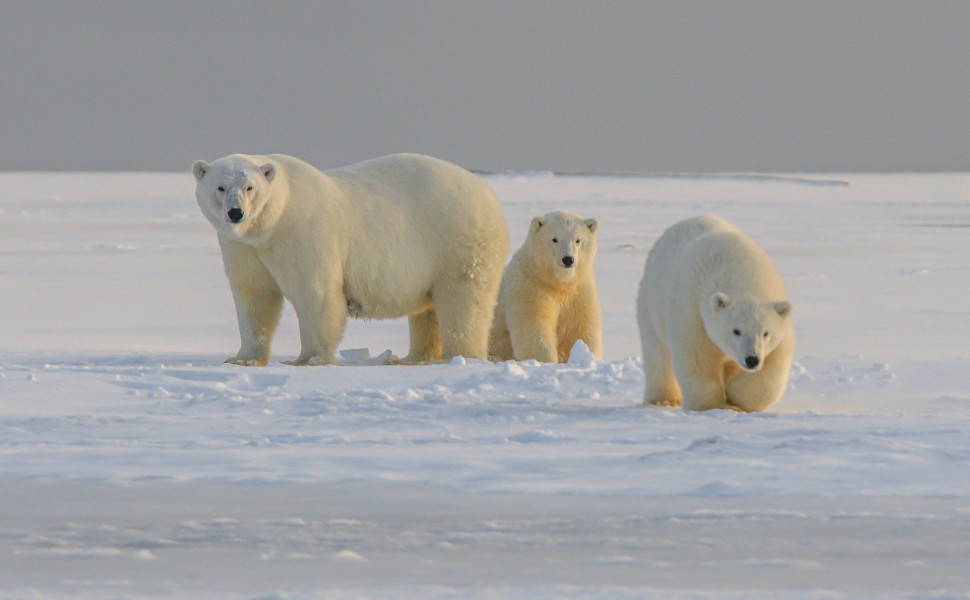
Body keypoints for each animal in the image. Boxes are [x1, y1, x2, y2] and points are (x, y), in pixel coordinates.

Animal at [189, 151, 506, 366]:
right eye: (220, 187)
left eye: (250, 187)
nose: (236, 213)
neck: (273, 224)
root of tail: (487, 193)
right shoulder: (243, 247)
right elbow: (254, 295)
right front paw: (243, 358)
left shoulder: (304, 231)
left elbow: (315, 292)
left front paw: (308, 359)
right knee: (427, 309)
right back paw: (411, 358)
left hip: (456, 240)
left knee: (462, 298)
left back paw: (456, 356)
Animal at [488, 210, 600, 360]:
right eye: (554, 239)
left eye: (578, 240)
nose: (568, 259)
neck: (557, 282)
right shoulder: (531, 287)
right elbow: (534, 328)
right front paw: (547, 360)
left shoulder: (579, 291)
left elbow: (581, 328)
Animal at [636, 216, 796, 412]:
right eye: (736, 330)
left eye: (766, 332)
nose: (752, 360)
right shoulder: (691, 309)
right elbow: (697, 356)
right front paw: (713, 405)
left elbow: (775, 362)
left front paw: (736, 396)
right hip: (651, 303)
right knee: (657, 353)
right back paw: (663, 400)